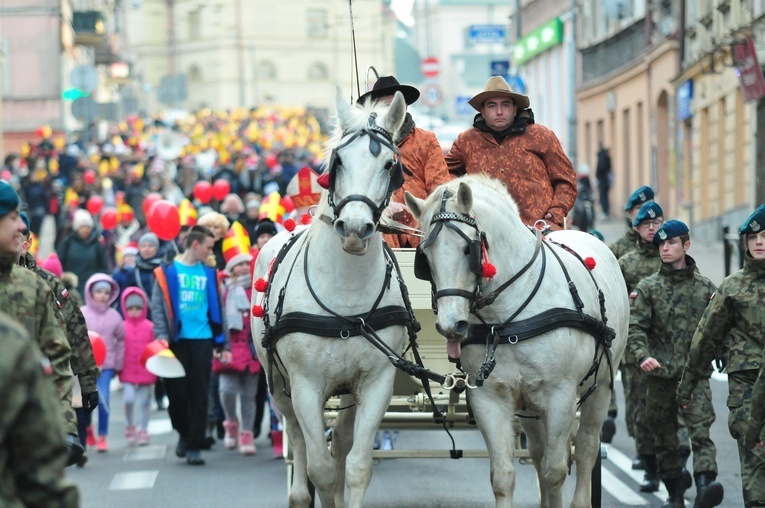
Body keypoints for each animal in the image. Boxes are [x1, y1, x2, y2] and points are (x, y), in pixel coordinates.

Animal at [252, 91, 412, 508]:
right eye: (339, 161)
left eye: (390, 165)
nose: (354, 229)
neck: (346, 301)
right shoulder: (305, 386)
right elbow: (320, 470)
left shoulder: (375, 382)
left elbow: (355, 466)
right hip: (281, 387)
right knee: (299, 441)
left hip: (346, 393)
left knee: (340, 443)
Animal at [406, 176, 628, 508]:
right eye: (424, 257)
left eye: (468, 250)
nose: (450, 325)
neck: (507, 319)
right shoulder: (490, 399)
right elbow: (503, 475)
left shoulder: (561, 395)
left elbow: (555, 471)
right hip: (530, 407)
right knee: (536, 451)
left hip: (599, 388)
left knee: (587, 448)